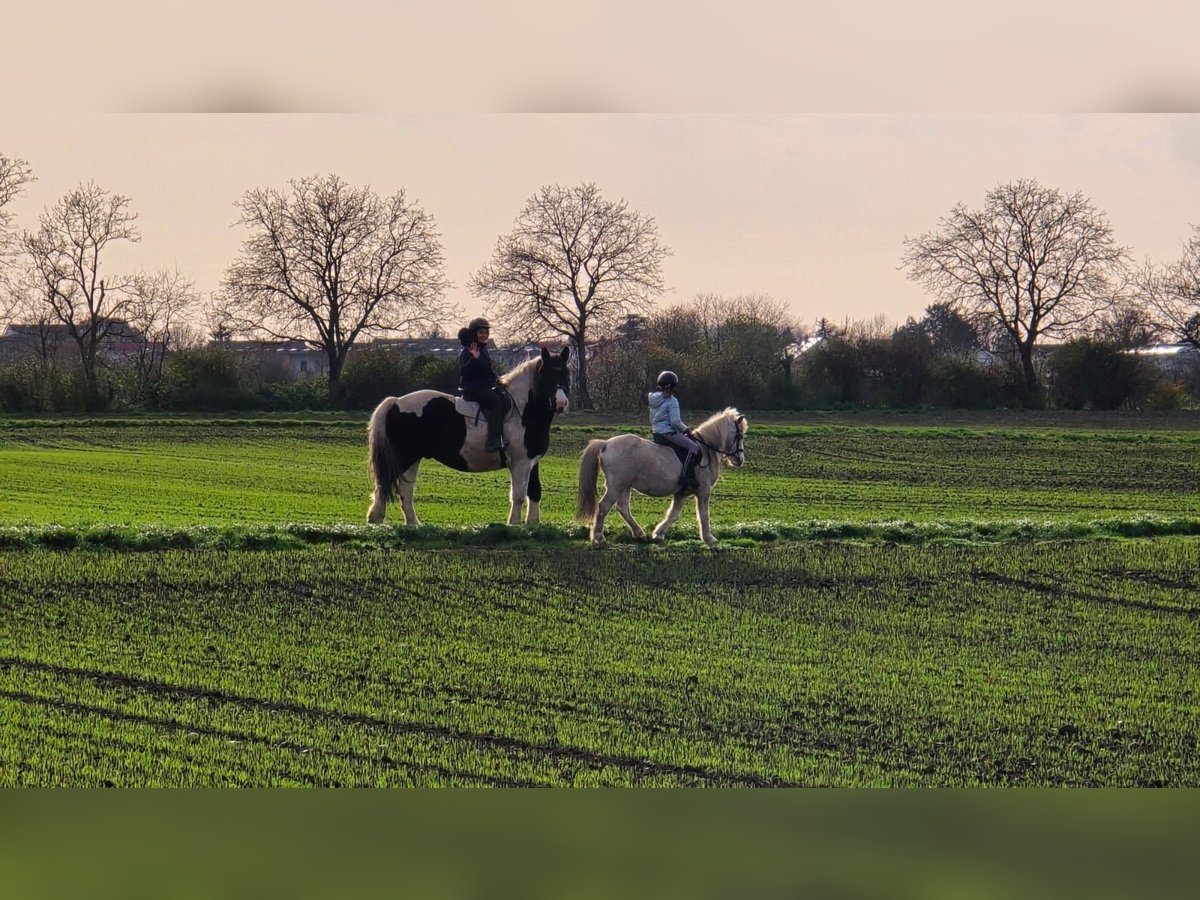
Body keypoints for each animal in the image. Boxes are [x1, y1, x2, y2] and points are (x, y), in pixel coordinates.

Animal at [364, 348, 571, 528]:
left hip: (412, 459)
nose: (561, 404)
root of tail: (395, 402)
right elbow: (518, 495)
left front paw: (533, 525)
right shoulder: (520, 462)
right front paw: (513, 524)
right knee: (386, 486)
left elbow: (535, 491)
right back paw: (378, 519)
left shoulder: (532, 461)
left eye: (566, 374)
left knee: (405, 490)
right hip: (405, 457)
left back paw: (412, 524)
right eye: (549, 375)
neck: (523, 410)